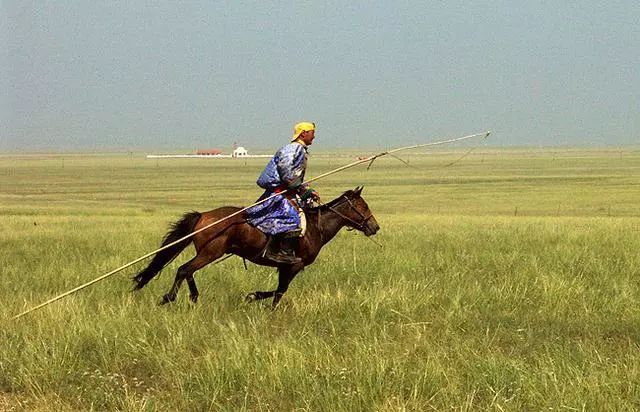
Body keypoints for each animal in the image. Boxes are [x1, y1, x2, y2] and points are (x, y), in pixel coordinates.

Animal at [132, 187, 378, 308]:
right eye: (363, 206)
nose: (375, 226)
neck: (316, 227)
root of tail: (202, 215)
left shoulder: (284, 267)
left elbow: (278, 290)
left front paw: (254, 297)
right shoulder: (293, 266)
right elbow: (280, 291)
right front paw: (258, 301)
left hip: (207, 253)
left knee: (188, 270)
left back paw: (193, 297)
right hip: (211, 252)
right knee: (184, 269)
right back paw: (169, 298)